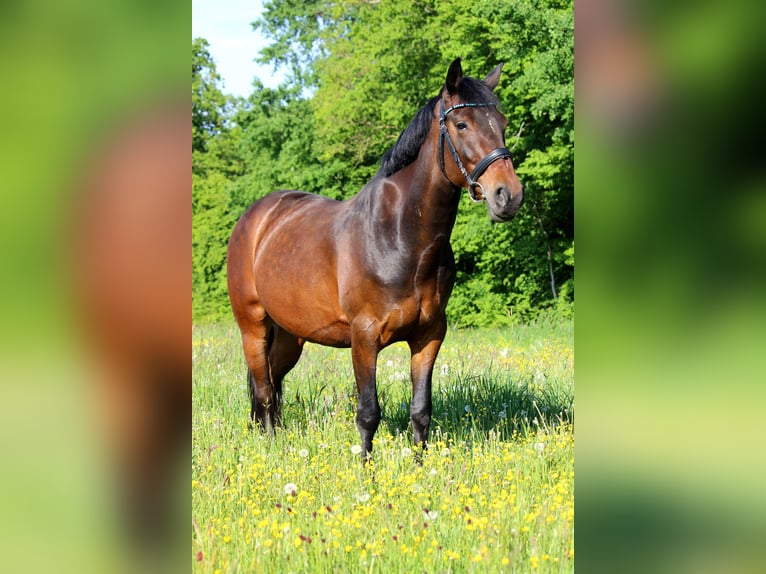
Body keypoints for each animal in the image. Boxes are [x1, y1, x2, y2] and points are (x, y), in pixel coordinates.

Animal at [228, 56, 524, 456]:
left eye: (503, 124)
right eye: (462, 124)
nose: (508, 195)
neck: (400, 238)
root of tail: (255, 218)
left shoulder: (429, 336)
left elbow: (421, 410)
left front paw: (419, 465)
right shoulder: (364, 338)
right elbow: (368, 413)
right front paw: (366, 468)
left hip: (291, 335)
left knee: (272, 386)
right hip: (253, 327)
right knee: (262, 391)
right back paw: (270, 448)